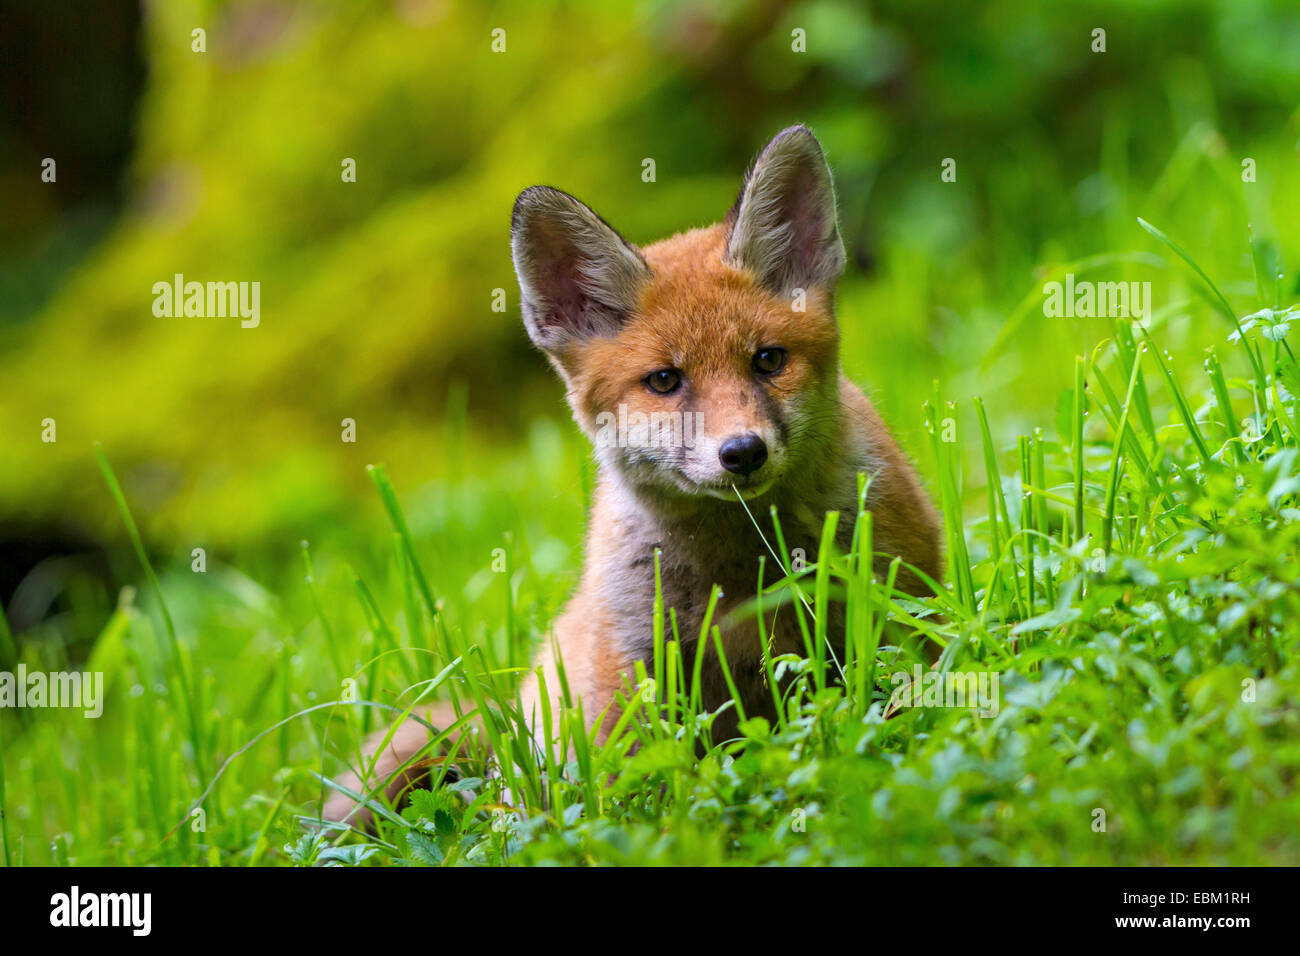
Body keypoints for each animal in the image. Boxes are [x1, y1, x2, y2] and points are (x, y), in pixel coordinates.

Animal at [319, 127, 941, 827]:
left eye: (769, 360)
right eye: (665, 380)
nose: (743, 452)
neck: (742, 565)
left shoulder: (899, 597)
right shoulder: (636, 663)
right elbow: (645, 785)